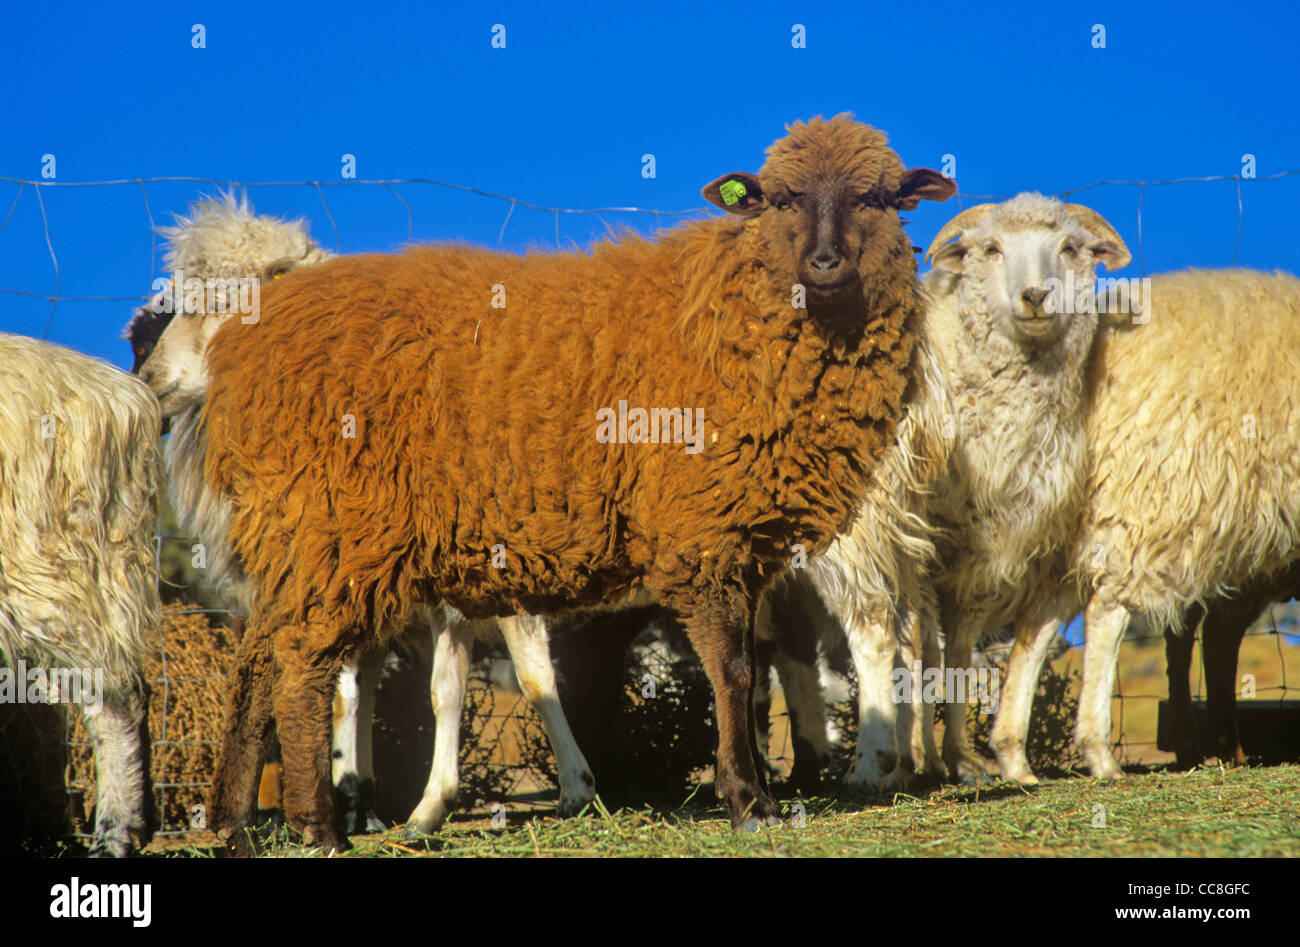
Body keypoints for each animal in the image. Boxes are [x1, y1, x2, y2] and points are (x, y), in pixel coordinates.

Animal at [195, 114, 955, 851]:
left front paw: (755, 790)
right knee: (301, 664)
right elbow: (732, 671)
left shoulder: (742, 541)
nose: (825, 263)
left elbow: (751, 672)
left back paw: (234, 823)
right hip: (335, 523)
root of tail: (239, 348)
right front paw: (748, 800)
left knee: (257, 661)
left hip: (294, 532)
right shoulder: (701, 531)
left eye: (876, 199)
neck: (735, 313)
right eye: (783, 198)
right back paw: (319, 830)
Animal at [989, 268, 1300, 783]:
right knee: (1111, 612)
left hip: (1086, 516)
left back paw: (1014, 755)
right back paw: (1100, 751)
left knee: (1041, 618)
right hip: (1153, 496)